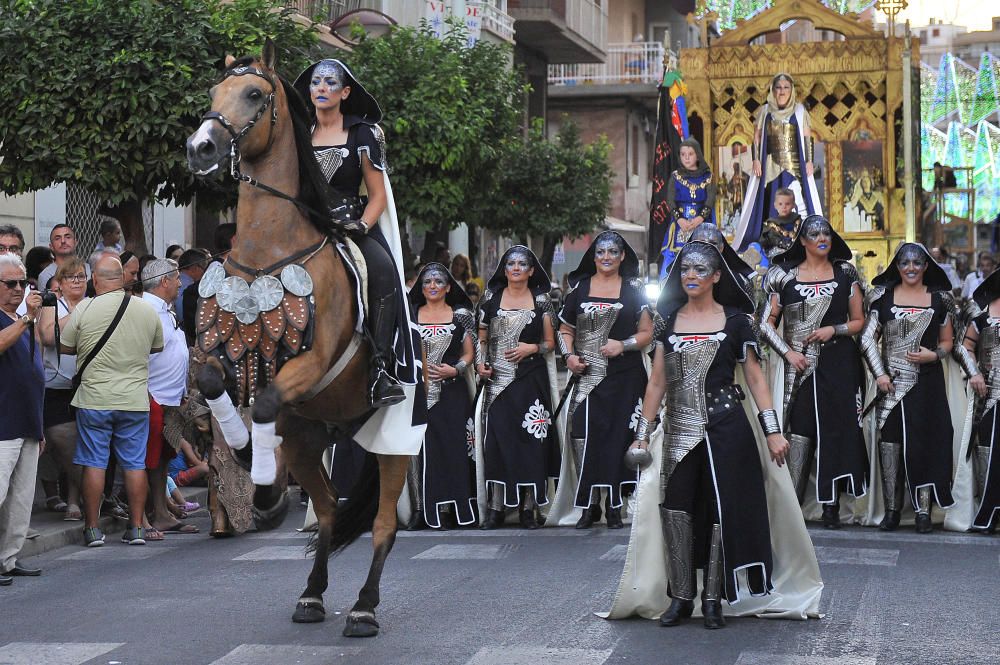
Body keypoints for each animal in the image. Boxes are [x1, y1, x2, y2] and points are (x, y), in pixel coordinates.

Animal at [186, 41, 408, 640]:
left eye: (254, 94)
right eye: (213, 92)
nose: (200, 147)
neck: (270, 246)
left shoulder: (310, 366)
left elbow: (263, 401)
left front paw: (261, 482)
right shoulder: (220, 352)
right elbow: (213, 383)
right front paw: (244, 453)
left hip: (394, 441)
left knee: (383, 524)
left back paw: (364, 608)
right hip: (310, 438)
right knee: (328, 508)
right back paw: (311, 594)